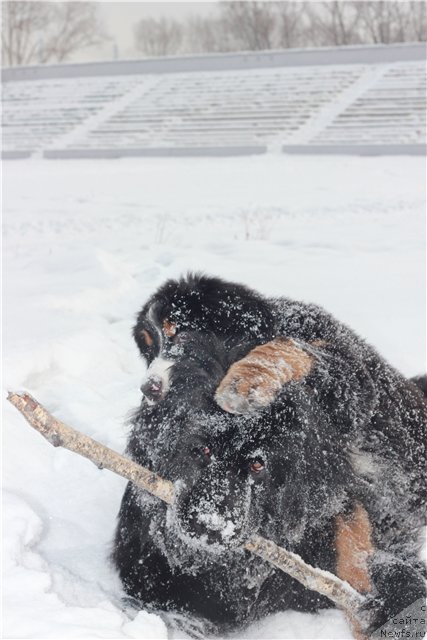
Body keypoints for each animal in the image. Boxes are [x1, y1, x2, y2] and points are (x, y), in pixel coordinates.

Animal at [112, 274, 426, 636]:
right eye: (148, 347)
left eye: (179, 333)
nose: (149, 388)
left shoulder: (347, 382)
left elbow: (298, 352)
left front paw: (250, 378)